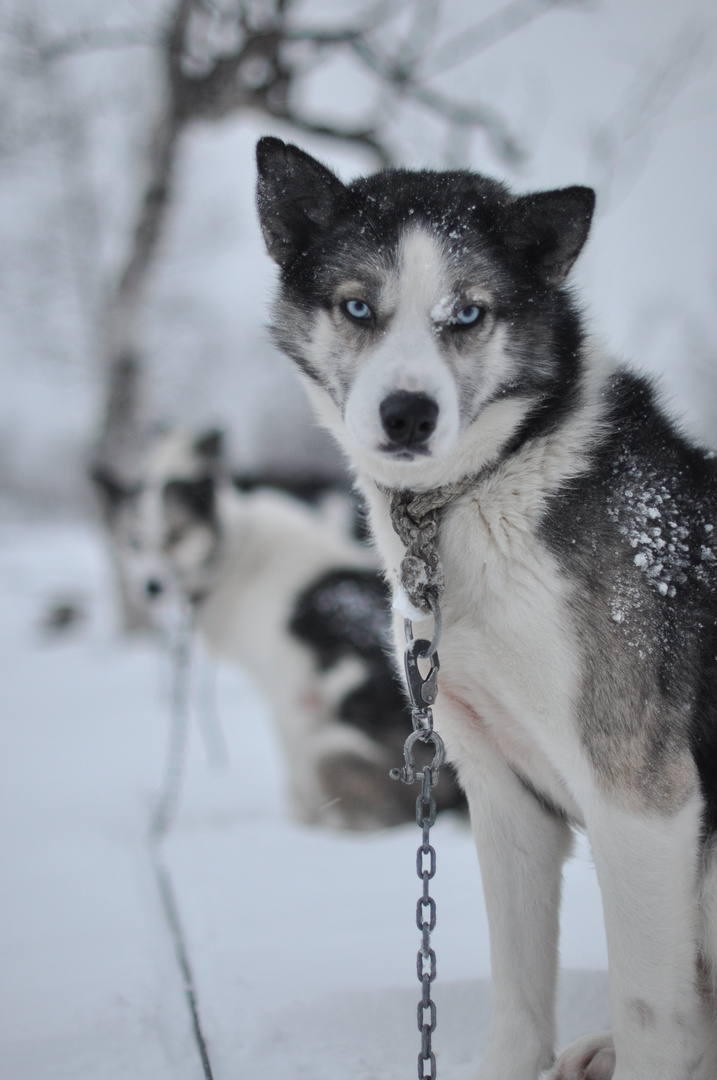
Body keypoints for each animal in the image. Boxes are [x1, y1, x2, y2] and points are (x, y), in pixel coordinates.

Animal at [95, 427, 462, 825]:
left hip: (328, 746)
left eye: (175, 537)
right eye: (134, 541)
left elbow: (296, 784)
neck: (235, 552)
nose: (151, 587)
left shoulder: (290, 698)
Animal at [255, 135, 717, 1080]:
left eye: (466, 314)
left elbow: (656, 1017)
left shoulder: (641, 797)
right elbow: (518, 1001)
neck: (491, 484)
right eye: (357, 306)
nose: (407, 413)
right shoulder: (502, 794)